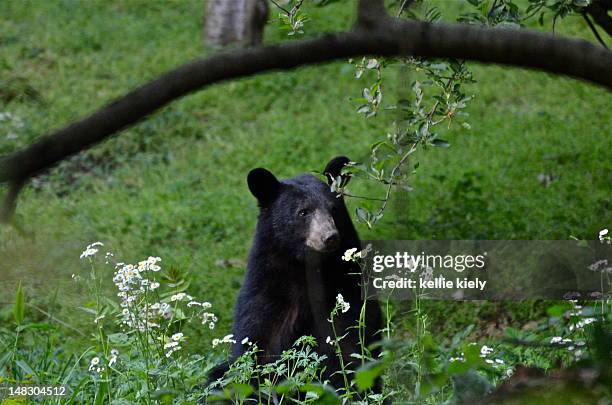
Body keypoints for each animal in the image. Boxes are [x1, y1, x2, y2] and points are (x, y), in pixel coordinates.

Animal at [213, 155, 380, 388]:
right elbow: (256, 350)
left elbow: (351, 345)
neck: (305, 270)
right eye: (303, 212)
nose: (330, 237)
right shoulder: (267, 296)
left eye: (333, 208)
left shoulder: (347, 291)